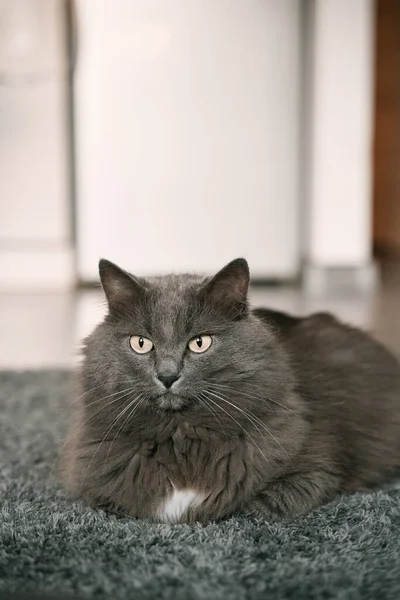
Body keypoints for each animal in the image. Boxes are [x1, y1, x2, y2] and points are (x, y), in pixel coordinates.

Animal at [61, 260, 400, 524]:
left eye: (200, 343)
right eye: (141, 343)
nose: (168, 376)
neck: (181, 435)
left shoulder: (315, 469)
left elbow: (259, 506)